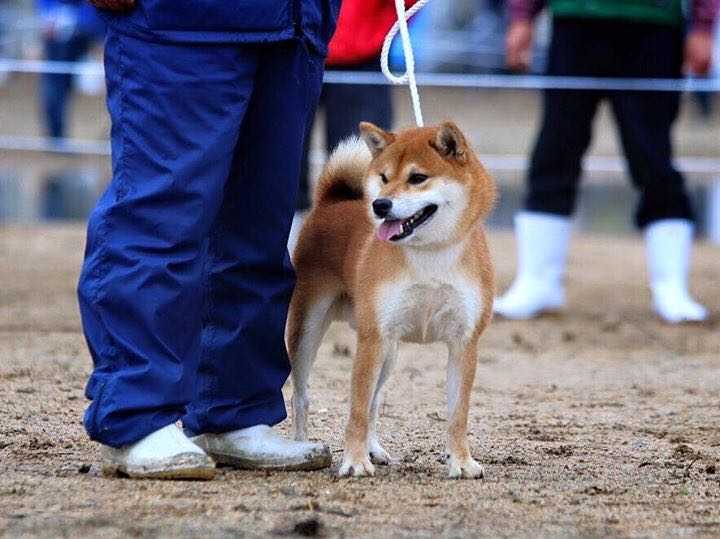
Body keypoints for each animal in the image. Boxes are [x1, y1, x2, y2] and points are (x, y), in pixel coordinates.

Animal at [286, 121, 496, 476]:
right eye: (384, 177)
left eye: (418, 177)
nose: (380, 205)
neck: (429, 253)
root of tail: (332, 203)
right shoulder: (372, 337)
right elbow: (356, 410)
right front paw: (354, 462)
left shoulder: (464, 342)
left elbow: (457, 415)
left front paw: (461, 461)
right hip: (308, 331)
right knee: (302, 397)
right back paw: (302, 447)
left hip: (390, 352)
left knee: (374, 404)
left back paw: (375, 450)